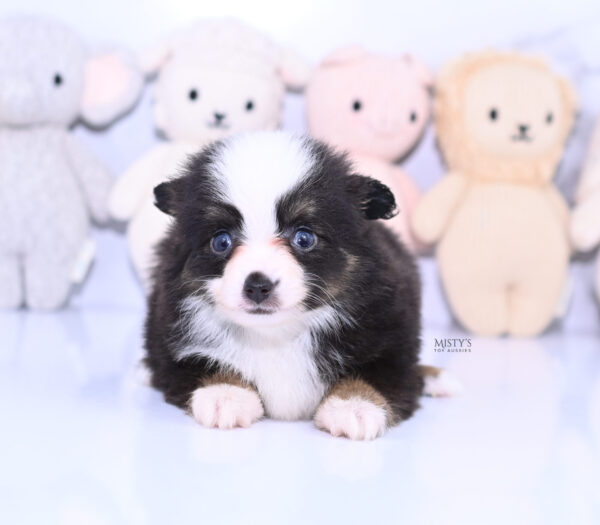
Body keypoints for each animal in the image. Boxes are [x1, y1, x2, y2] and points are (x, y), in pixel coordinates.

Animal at [145, 130, 436, 438]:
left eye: (304, 238)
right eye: (221, 241)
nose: (258, 286)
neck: (276, 336)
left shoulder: (392, 334)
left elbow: (375, 373)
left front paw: (353, 405)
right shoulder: (172, 339)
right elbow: (200, 362)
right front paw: (225, 393)